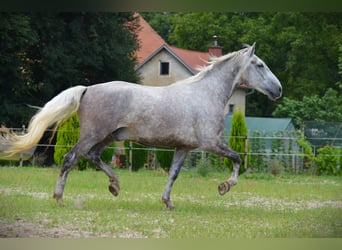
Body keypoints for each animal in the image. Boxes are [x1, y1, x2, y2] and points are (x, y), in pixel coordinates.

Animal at [1, 43, 282, 209]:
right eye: (259, 65)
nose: (278, 89)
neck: (206, 94)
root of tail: (87, 89)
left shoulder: (184, 148)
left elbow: (173, 174)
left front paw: (167, 202)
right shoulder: (211, 143)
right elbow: (237, 159)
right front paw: (224, 186)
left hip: (108, 137)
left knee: (93, 157)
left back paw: (115, 185)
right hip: (93, 134)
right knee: (71, 159)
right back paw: (59, 197)